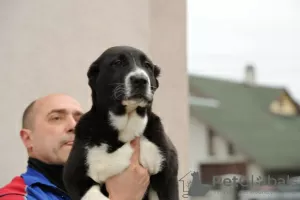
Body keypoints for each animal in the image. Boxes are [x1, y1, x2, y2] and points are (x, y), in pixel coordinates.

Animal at [62, 45, 178, 200]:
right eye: (117, 63)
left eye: (147, 65)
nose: (140, 80)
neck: (127, 128)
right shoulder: (74, 177)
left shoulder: (168, 177)